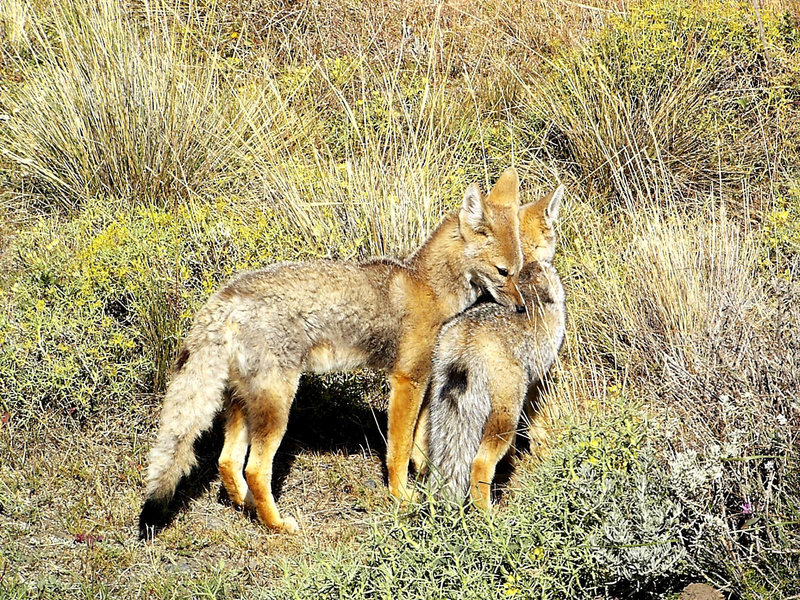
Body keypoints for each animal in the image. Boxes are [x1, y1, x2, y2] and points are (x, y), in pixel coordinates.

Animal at [428, 185, 564, 508]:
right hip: (505, 415)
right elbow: (538, 426)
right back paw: (489, 515)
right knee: (479, 464)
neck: (529, 263)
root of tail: (468, 336)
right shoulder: (539, 378)